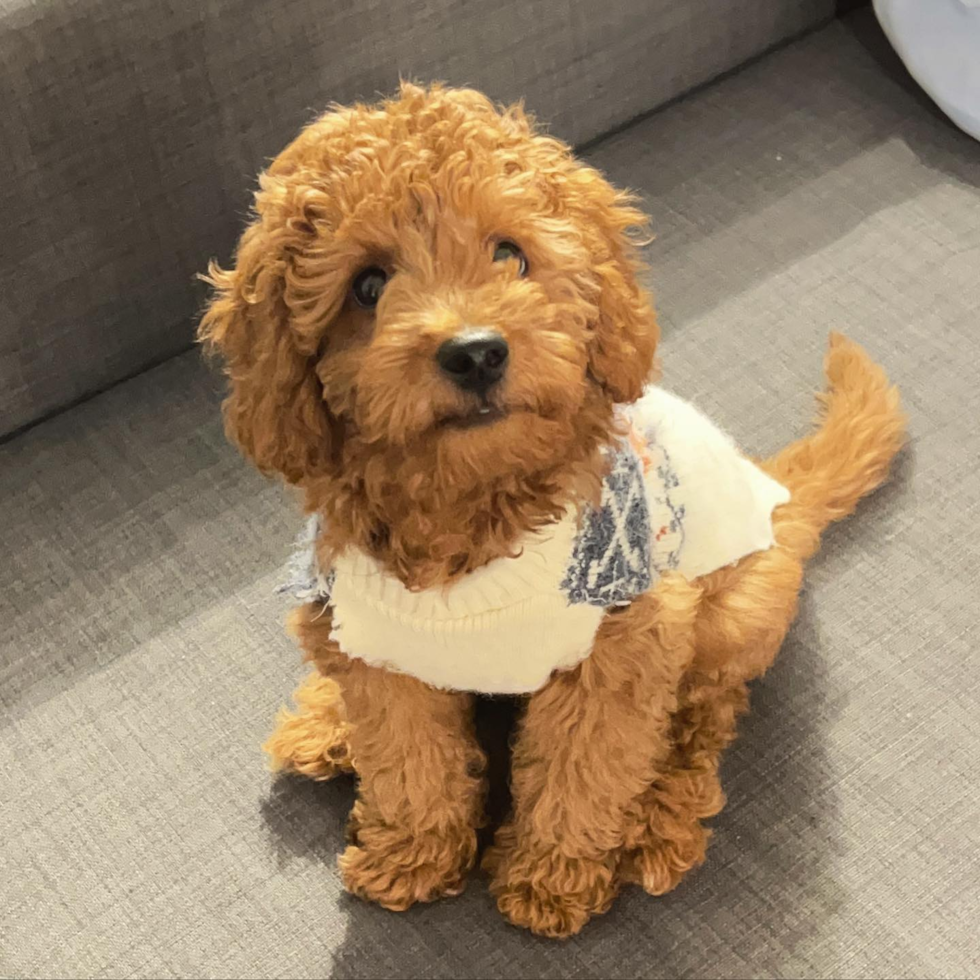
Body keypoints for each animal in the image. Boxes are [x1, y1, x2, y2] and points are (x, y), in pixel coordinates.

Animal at [197, 80, 904, 936]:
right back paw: (325, 724)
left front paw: (553, 875)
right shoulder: (382, 658)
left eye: (510, 253)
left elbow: (583, 767)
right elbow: (408, 758)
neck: (470, 516)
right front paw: (415, 853)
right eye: (367, 286)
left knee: (704, 716)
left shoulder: (623, 643)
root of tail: (779, 493)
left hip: (733, 617)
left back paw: (660, 817)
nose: (475, 351)